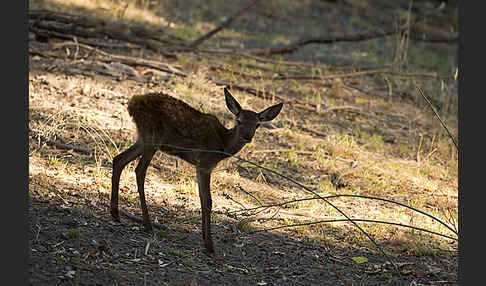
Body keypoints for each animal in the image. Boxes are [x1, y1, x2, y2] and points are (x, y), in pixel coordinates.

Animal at [111, 87, 282, 252]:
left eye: (257, 124)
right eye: (239, 121)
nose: (248, 136)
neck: (222, 145)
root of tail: (132, 103)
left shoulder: (199, 165)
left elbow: (201, 197)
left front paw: (204, 236)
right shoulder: (206, 163)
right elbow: (208, 201)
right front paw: (209, 245)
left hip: (143, 138)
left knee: (119, 160)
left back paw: (115, 214)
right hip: (152, 137)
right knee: (139, 171)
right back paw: (147, 224)